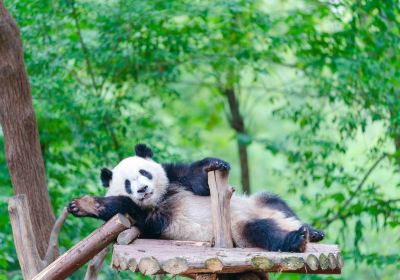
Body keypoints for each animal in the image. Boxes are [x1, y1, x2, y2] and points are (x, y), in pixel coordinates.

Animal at [68, 144, 324, 252]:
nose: (143, 189)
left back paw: (312, 231)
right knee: (262, 231)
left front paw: (215, 163)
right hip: (238, 229)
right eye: (128, 184)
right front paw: (84, 205)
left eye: (144, 173)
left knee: (277, 202)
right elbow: (127, 208)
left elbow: (198, 180)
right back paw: (296, 239)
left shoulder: (174, 177)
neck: (161, 197)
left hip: (259, 202)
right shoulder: (151, 220)